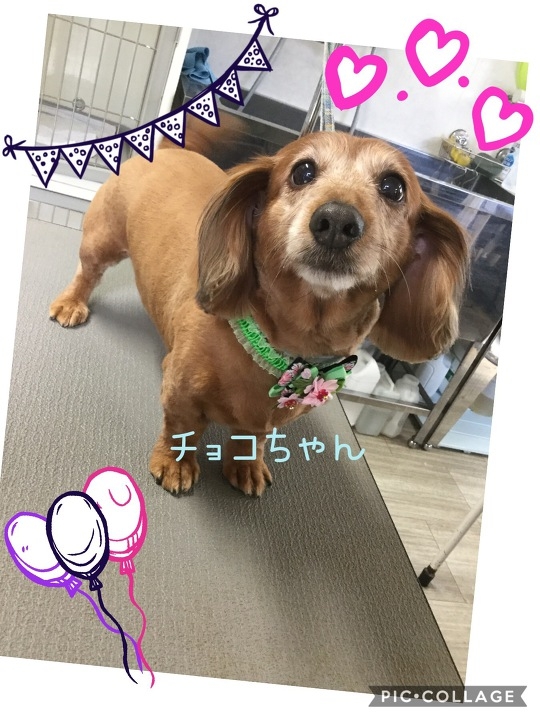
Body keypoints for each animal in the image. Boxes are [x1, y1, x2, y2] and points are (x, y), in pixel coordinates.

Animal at [50, 118, 469, 497]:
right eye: (302, 171)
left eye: (393, 187)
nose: (336, 221)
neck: (288, 344)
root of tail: (167, 150)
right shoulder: (179, 390)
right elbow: (181, 427)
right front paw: (175, 462)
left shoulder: (265, 422)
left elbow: (252, 438)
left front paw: (246, 466)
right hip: (102, 240)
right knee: (87, 273)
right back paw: (71, 302)